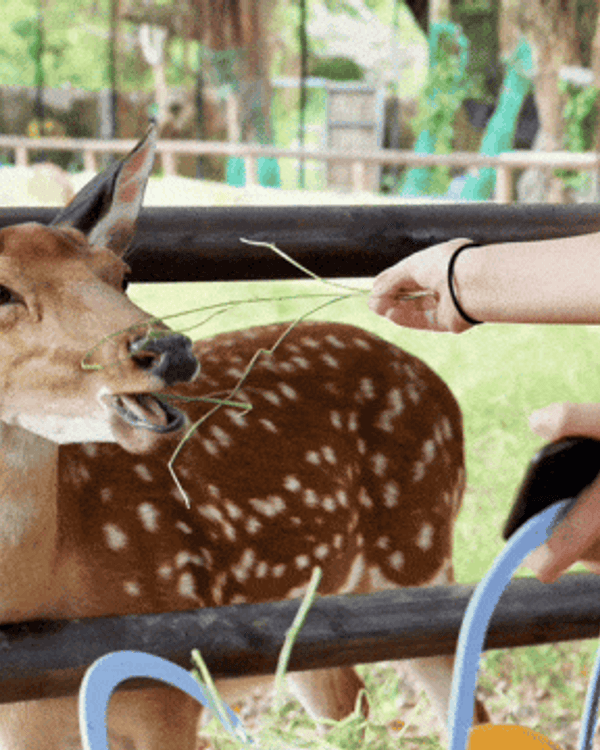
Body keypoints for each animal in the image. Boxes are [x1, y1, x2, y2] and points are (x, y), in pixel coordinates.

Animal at [0, 123, 489, 750]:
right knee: (352, 704)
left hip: (420, 551)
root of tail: (439, 385)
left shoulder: (166, 691)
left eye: (122, 275)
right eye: (2, 293)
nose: (168, 348)